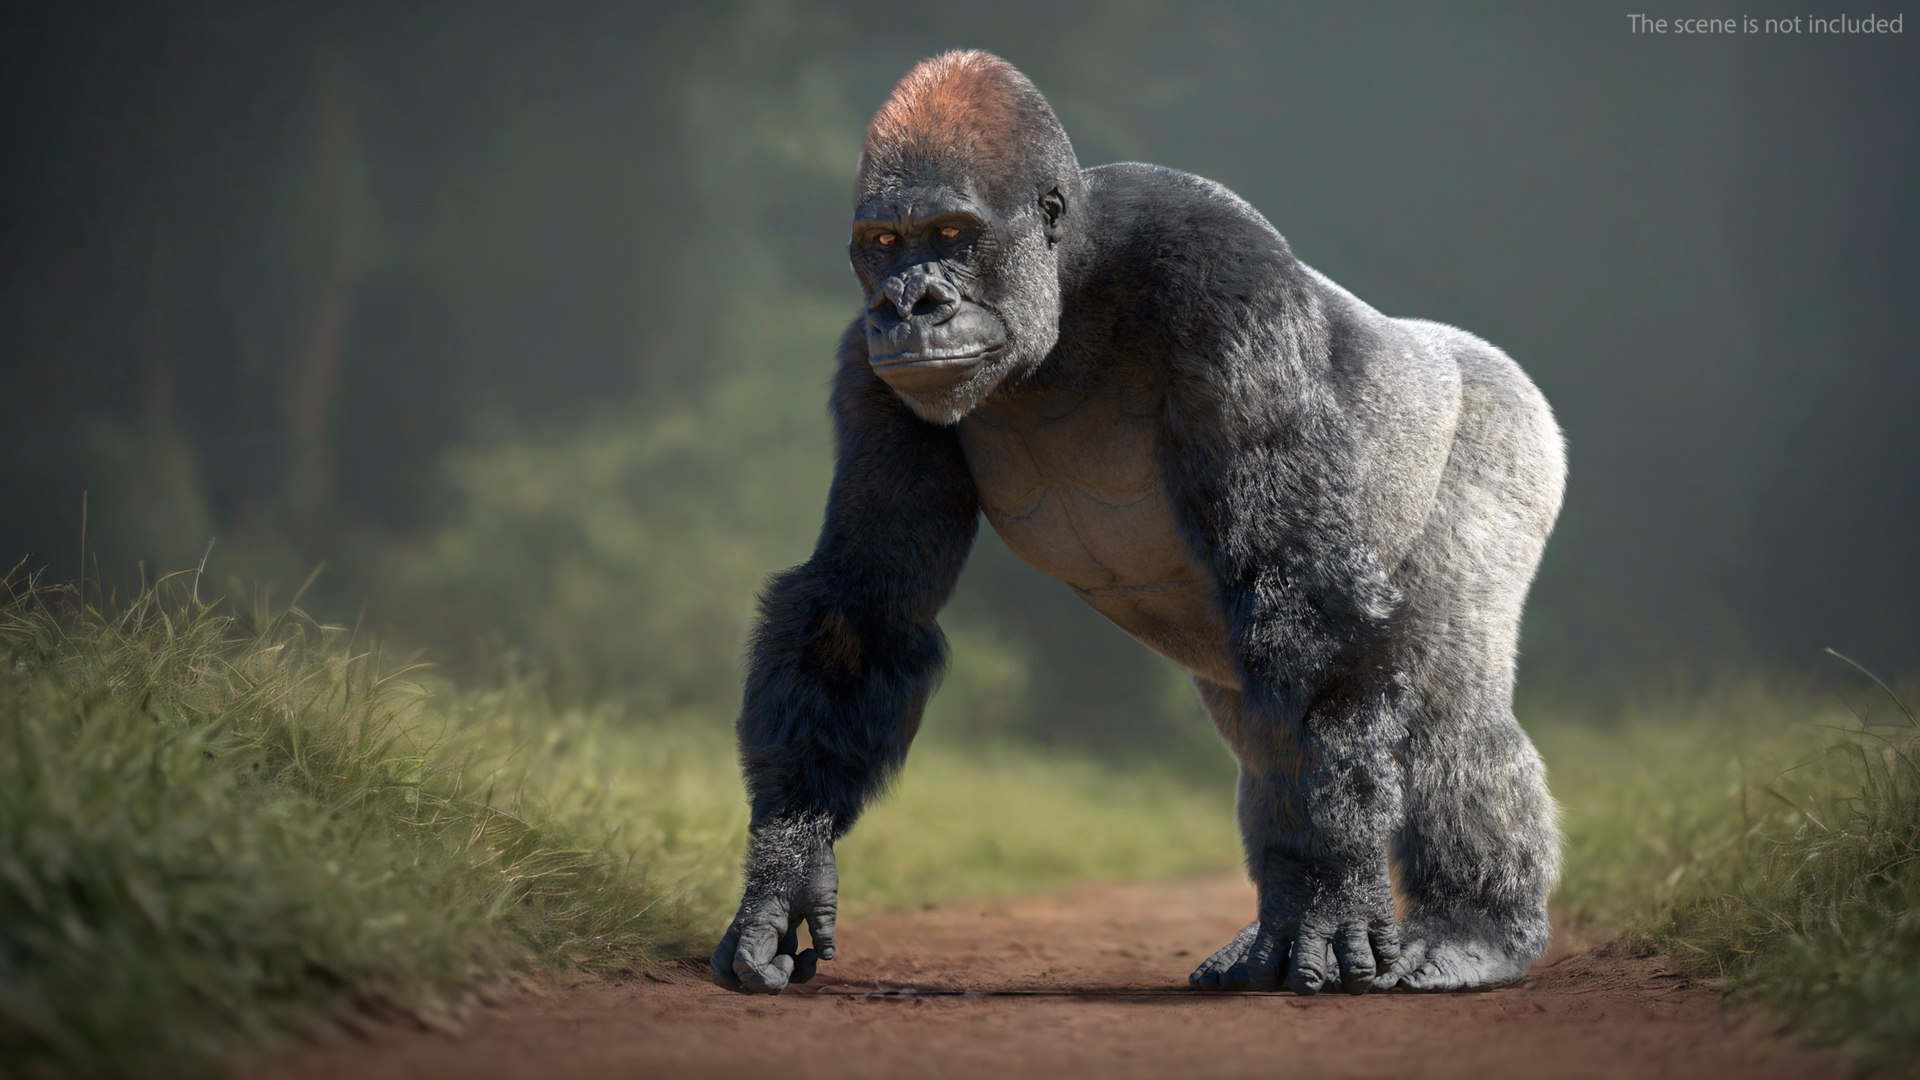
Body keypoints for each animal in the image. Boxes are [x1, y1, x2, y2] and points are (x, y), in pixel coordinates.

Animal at [709, 50, 1565, 997]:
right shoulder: (872, 370)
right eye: (886, 244)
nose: (911, 304)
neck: (1069, 281)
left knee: (1446, 695)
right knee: (1260, 719)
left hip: (1507, 421)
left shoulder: (1225, 278)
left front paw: (1342, 887)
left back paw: (1467, 931)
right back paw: (1273, 935)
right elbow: (864, 607)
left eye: (952, 234)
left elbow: (1303, 581)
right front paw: (787, 866)